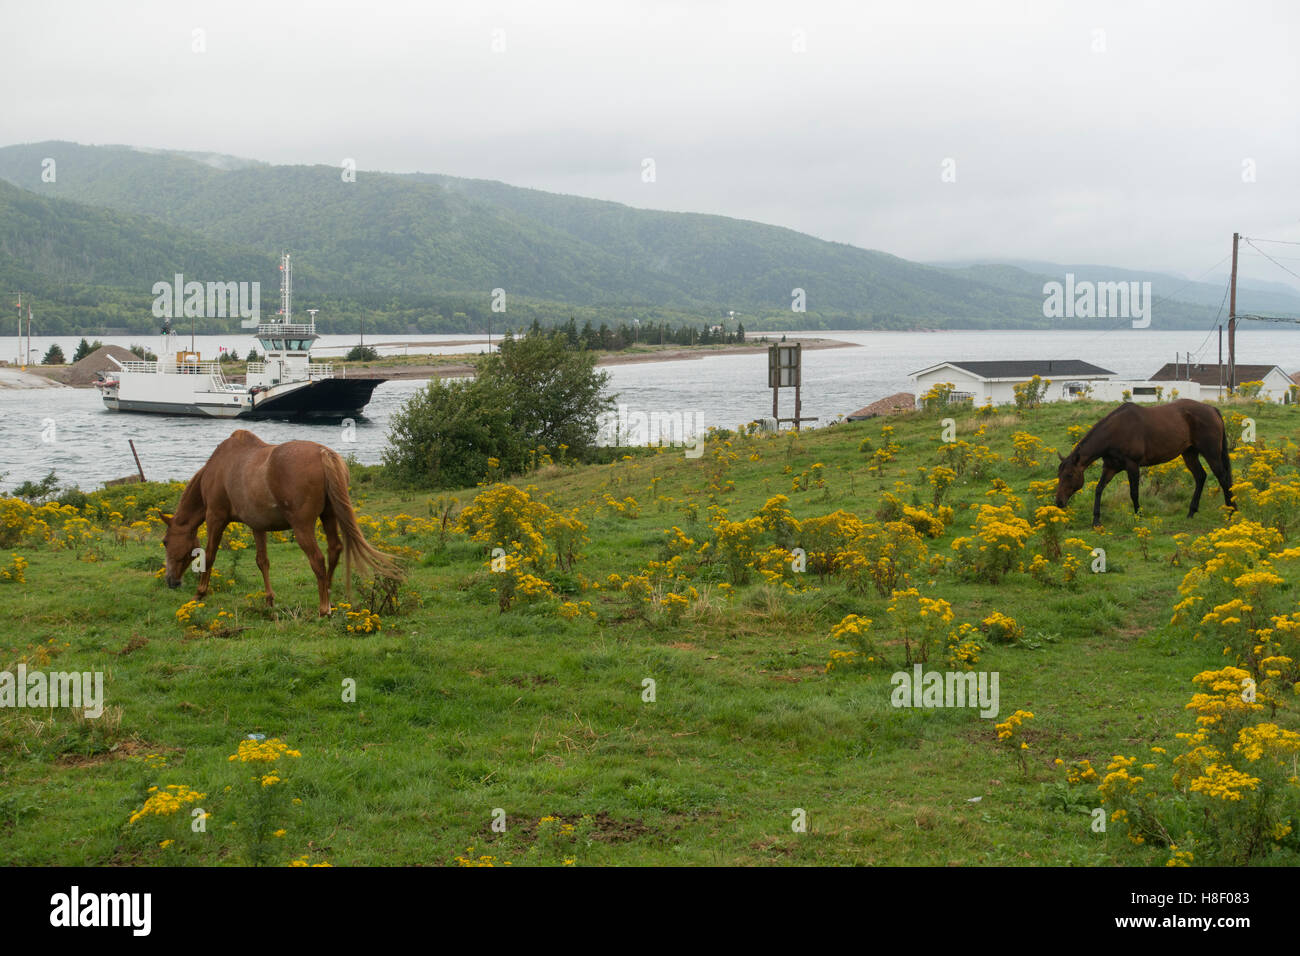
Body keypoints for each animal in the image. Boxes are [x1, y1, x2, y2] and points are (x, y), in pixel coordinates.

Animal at [161, 431, 397, 616]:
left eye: (165, 541)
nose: (171, 581)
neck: (219, 467)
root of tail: (323, 454)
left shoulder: (215, 517)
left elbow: (208, 556)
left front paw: (199, 594)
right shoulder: (257, 526)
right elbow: (262, 561)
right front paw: (269, 600)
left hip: (302, 526)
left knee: (318, 559)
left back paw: (324, 608)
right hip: (329, 516)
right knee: (334, 550)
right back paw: (328, 595)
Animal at [1050, 398, 1232, 528]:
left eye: (1069, 475)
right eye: (1059, 474)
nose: (1059, 502)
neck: (1115, 431)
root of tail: (1212, 410)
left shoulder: (1132, 465)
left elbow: (1134, 492)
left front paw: (1138, 516)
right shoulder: (1110, 467)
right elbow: (1099, 489)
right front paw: (1096, 520)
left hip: (1211, 454)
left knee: (1223, 478)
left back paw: (1231, 511)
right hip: (1189, 453)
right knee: (1201, 477)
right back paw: (1191, 512)